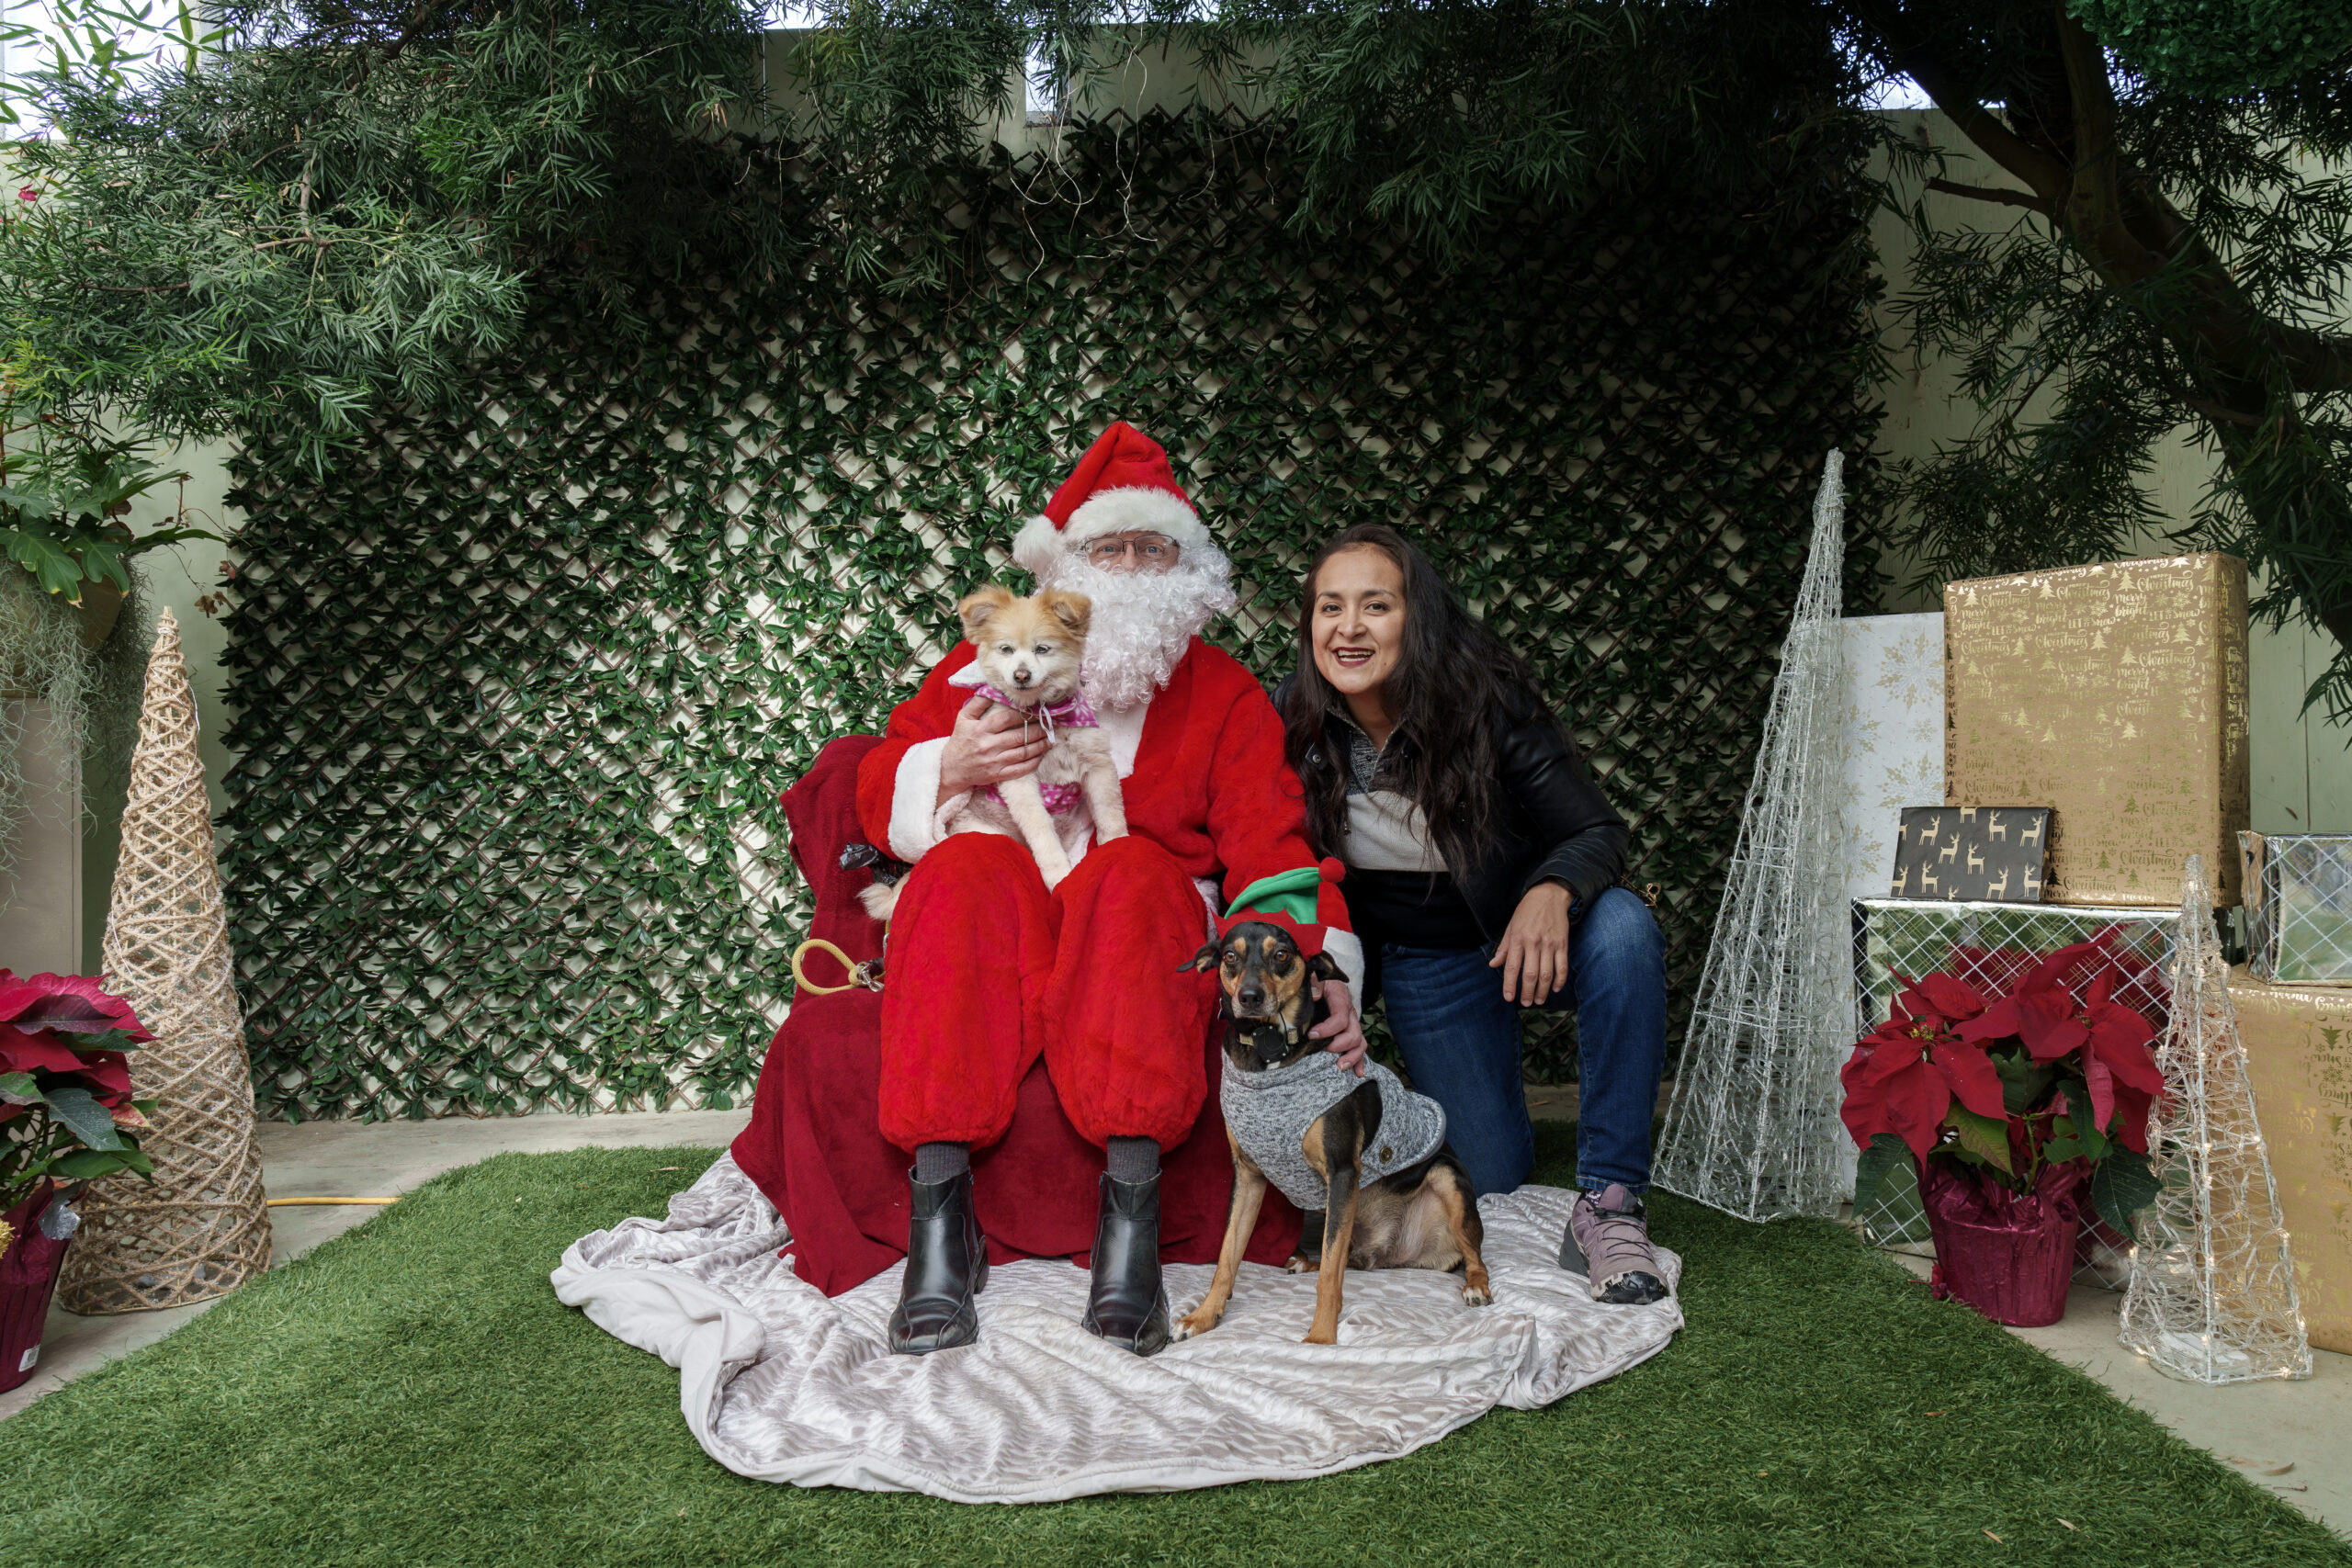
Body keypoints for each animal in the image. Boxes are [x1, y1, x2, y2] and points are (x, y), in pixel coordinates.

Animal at [861, 585, 1127, 921]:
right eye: (1007, 650)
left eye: (1042, 649)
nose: (1021, 675)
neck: (1040, 713)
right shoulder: (1019, 779)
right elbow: (1042, 833)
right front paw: (1059, 875)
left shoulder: (1097, 762)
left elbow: (1110, 816)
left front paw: (1117, 846)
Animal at [1173, 919, 1490, 1345]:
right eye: (1230, 956)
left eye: (1281, 954)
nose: (1250, 997)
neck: (1269, 1053)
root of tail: (1395, 1253)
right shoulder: (1248, 1177)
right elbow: (1226, 1258)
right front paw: (1204, 1316)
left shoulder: (1342, 1172)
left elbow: (1329, 1275)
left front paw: (1321, 1339)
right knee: (1343, 1257)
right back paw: (1303, 1261)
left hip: (1446, 1179)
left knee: (1474, 1258)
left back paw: (1476, 1286)